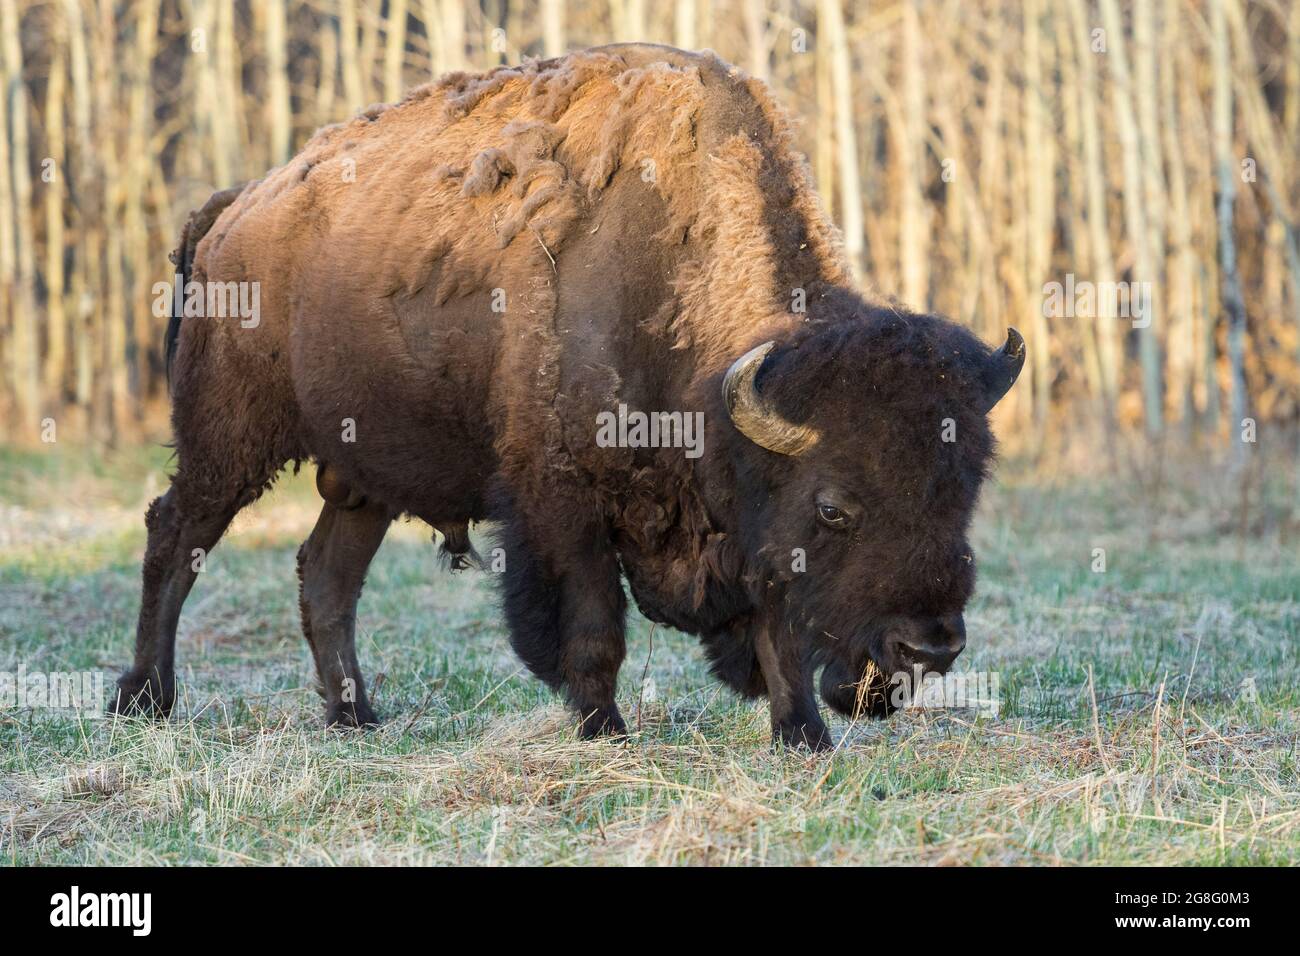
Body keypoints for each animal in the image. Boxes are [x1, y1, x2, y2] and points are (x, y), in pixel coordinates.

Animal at [111, 42, 1019, 749]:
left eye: (964, 493)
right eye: (836, 507)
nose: (929, 650)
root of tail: (235, 208)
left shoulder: (743, 527)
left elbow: (776, 629)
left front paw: (803, 737)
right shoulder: (563, 502)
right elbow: (593, 629)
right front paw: (604, 731)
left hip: (364, 472)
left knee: (326, 574)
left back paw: (354, 715)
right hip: (228, 438)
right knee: (176, 536)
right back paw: (145, 698)